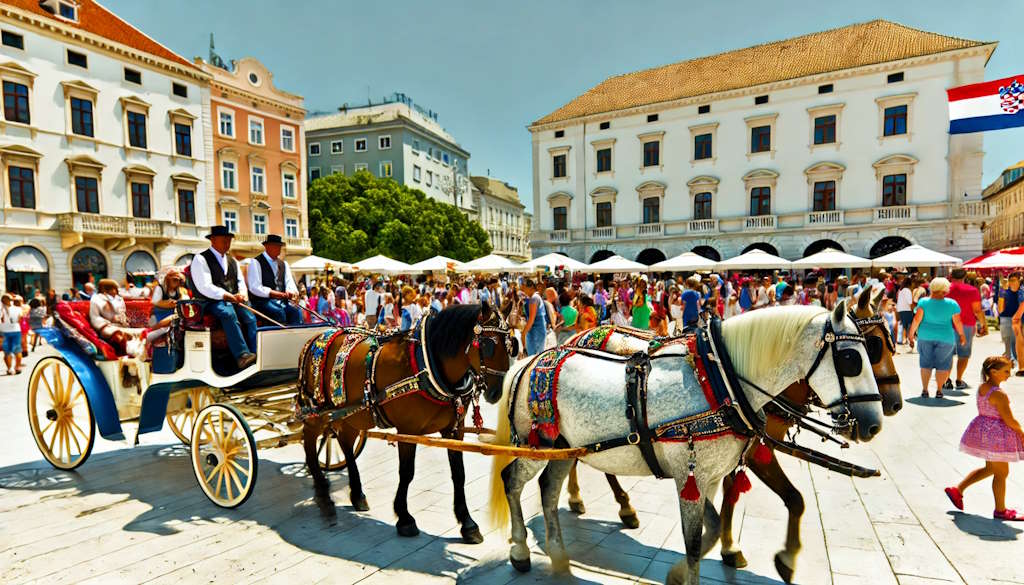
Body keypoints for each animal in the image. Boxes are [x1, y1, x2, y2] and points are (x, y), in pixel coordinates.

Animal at [299, 305, 516, 540]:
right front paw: (404, 518)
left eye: (511, 346)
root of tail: (314, 338)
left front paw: (467, 523)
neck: (426, 365)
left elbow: (459, 474)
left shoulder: (454, 430)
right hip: (319, 410)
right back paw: (321, 488)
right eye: (488, 345)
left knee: (345, 443)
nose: (496, 393)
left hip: (352, 415)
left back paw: (357, 495)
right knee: (310, 437)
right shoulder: (407, 430)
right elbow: (407, 473)